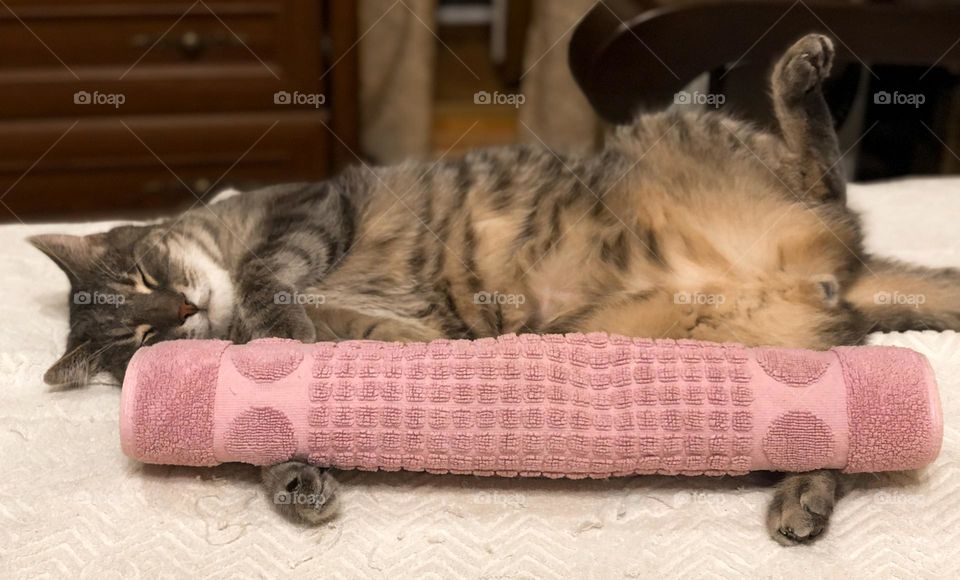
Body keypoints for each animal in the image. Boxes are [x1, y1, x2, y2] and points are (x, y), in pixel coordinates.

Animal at [30, 35, 960, 544]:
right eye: (141, 340)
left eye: (148, 280)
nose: (181, 309)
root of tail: (840, 271)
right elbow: (280, 405)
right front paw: (294, 473)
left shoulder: (310, 210)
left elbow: (274, 284)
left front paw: (277, 315)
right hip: (748, 367)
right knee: (829, 421)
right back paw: (803, 494)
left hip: (690, 136)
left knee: (823, 169)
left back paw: (800, 78)